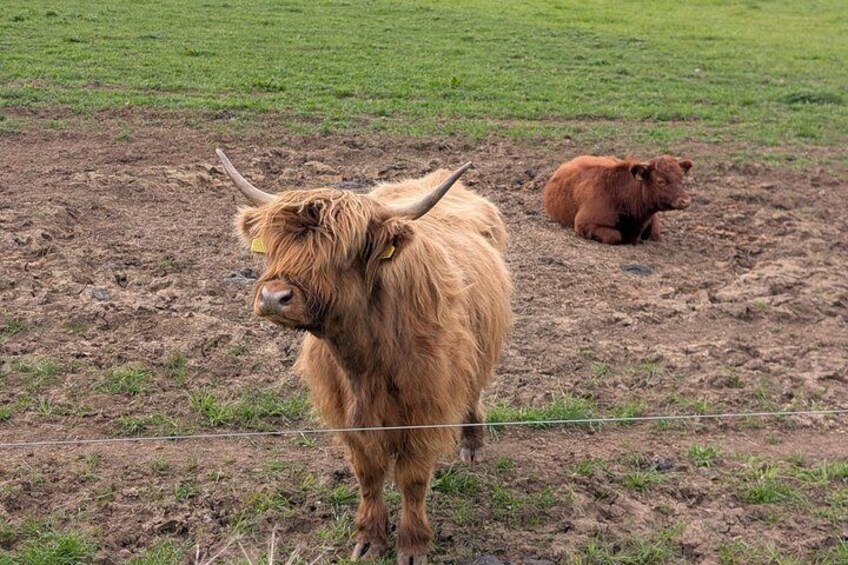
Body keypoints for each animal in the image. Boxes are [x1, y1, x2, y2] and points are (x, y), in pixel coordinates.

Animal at [217, 149, 512, 564]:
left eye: (340, 252)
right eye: (274, 244)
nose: (274, 297)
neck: (365, 358)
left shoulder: (425, 411)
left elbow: (412, 480)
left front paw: (412, 545)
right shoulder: (348, 415)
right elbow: (368, 474)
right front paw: (370, 538)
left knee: (473, 391)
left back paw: (472, 445)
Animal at [541, 155, 693, 245]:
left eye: (681, 178)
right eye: (660, 181)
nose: (685, 200)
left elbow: (655, 234)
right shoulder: (583, 223)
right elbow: (614, 236)